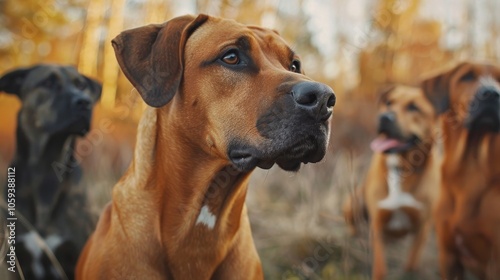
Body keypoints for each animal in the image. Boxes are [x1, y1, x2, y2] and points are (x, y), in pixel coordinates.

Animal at [342, 85, 440, 280]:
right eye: (388, 103)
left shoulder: (422, 227)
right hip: (352, 201)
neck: (400, 167)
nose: (384, 117)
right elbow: (380, 267)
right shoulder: (378, 224)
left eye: (414, 107)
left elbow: (411, 262)